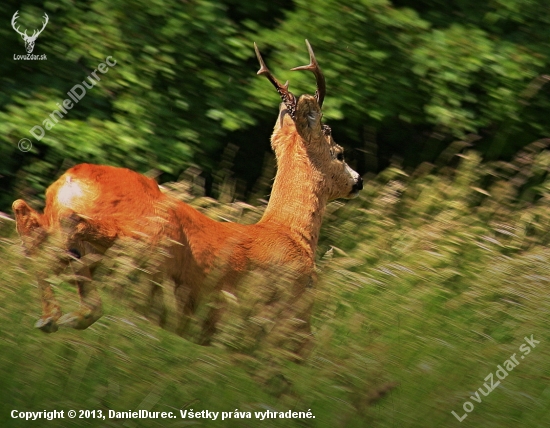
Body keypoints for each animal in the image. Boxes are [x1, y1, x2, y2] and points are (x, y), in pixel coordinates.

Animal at [11, 41, 362, 344]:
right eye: (340, 153)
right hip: (146, 239)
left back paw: (51, 315)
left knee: (24, 214)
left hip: (69, 225)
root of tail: (73, 178)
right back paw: (76, 313)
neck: (289, 233)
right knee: (73, 227)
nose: (358, 181)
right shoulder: (290, 319)